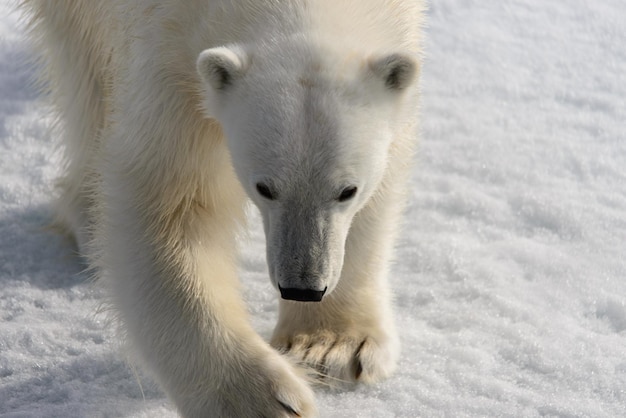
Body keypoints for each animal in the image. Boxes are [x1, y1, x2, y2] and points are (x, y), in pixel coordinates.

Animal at [24, 0, 424, 416]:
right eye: (264, 188)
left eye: (348, 190)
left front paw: (328, 347)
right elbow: (168, 206)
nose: (302, 287)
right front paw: (260, 399)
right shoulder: (168, 59)